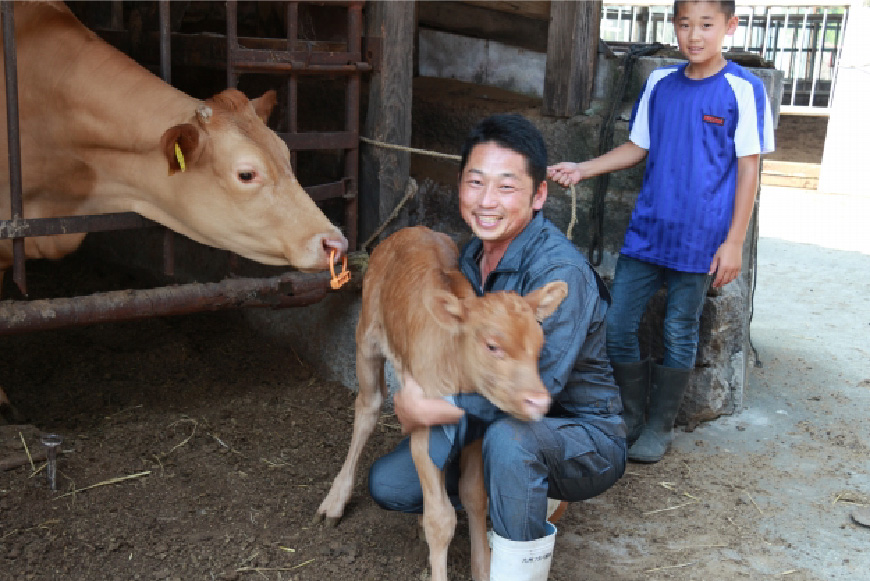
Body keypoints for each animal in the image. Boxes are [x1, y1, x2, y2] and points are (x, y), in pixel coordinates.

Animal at [316, 227, 568, 580]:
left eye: (540, 344)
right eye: (492, 346)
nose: (538, 400)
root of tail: (411, 229)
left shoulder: (475, 431)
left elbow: (474, 496)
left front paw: (482, 567)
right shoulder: (425, 429)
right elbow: (440, 519)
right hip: (366, 336)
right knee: (368, 407)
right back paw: (335, 501)